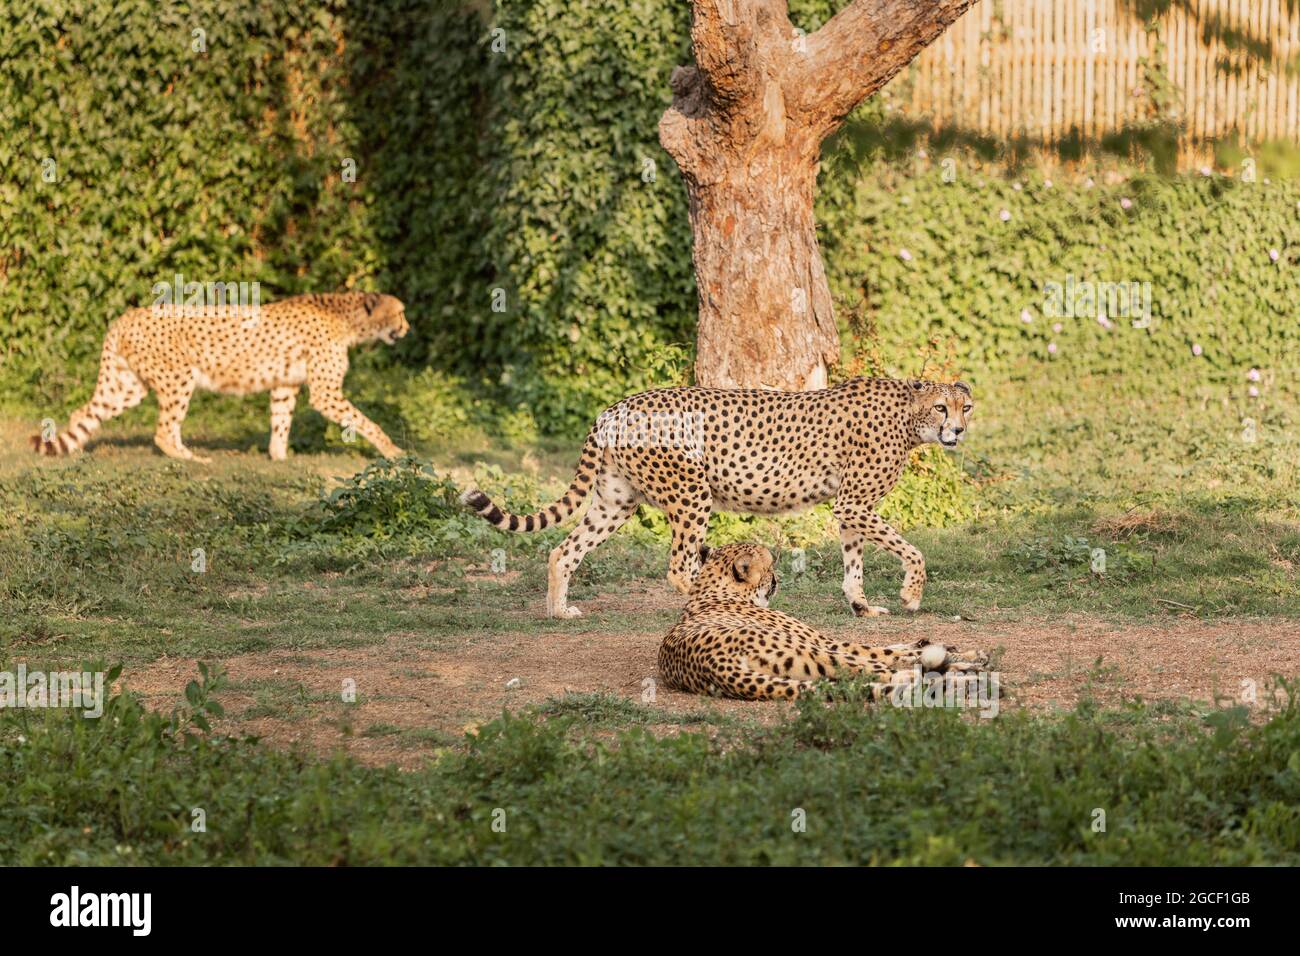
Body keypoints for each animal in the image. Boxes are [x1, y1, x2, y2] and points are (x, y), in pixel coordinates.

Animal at [30, 291, 405, 463]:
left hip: (127, 386)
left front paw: (279, 456)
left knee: (84, 412)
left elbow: (281, 421)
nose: (407, 328)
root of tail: (126, 315)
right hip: (178, 377)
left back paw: (75, 449)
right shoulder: (325, 392)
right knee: (164, 430)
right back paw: (191, 458)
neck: (347, 316)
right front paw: (393, 451)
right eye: (399, 312)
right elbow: (367, 422)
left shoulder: (285, 385)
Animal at [462, 379, 972, 621]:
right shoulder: (853, 504)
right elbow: (913, 550)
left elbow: (854, 564)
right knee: (678, 568)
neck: (909, 414)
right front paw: (911, 594)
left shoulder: (850, 508)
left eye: (964, 407)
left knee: (564, 551)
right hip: (692, 493)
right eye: (941, 407)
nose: (959, 430)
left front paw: (861, 606)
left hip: (616, 500)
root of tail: (616, 407)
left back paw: (558, 610)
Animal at [660, 546, 982, 702]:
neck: (712, 590)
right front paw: (961, 653)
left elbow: (894, 646)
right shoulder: (827, 641)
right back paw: (968, 673)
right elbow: (881, 650)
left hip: (806, 671)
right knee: (895, 672)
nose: (778, 576)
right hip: (817, 654)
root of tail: (712, 665)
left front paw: (931, 643)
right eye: (770, 564)